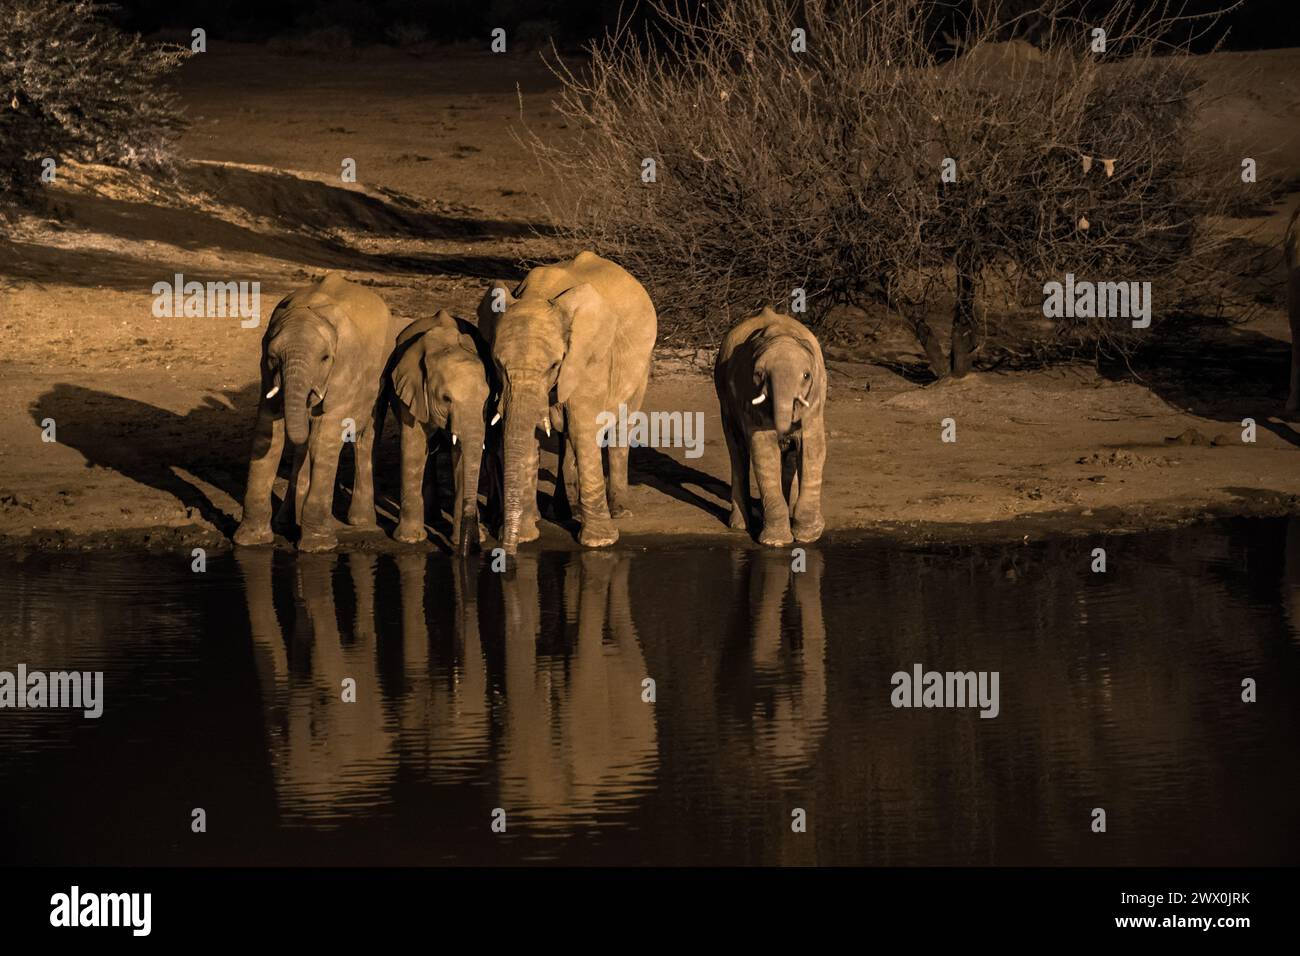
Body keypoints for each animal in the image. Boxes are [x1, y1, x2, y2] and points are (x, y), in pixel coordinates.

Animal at [231, 270, 397, 554]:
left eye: (325, 358)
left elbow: (324, 436)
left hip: (383, 371)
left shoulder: (345, 366)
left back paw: (360, 522)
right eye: (274, 358)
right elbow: (267, 432)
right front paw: (250, 541)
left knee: (363, 437)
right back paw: (286, 522)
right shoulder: (266, 369)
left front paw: (317, 547)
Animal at [384, 310, 496, 554]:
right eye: (446, 399)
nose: (472, 548)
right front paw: (409, 540)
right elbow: (414, 446)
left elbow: (461, 454)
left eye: (486, 398)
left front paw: (470, 538)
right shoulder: (413, 390)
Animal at [478, 251, 660, 556]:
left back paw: (620, 511)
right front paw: (526, 536)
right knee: (565, 437)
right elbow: (533, 434)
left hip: (640, 363)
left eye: (554, 365)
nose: (505, 551)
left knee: (619, 425)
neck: (538, 294)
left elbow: (582, 427)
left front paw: (600, 542)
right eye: (497, 363)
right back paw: (563, 511)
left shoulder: (587, 357)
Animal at [717, 306, 826, 546]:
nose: (785, 436)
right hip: (724, 401)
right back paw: (739, 525)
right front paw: (776, 542)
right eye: (759, 374)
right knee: (737, 452)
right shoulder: (748, 393)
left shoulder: (815, 397)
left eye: (806, 376)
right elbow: (764, 450)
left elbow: (812, 447)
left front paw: (807, 537)